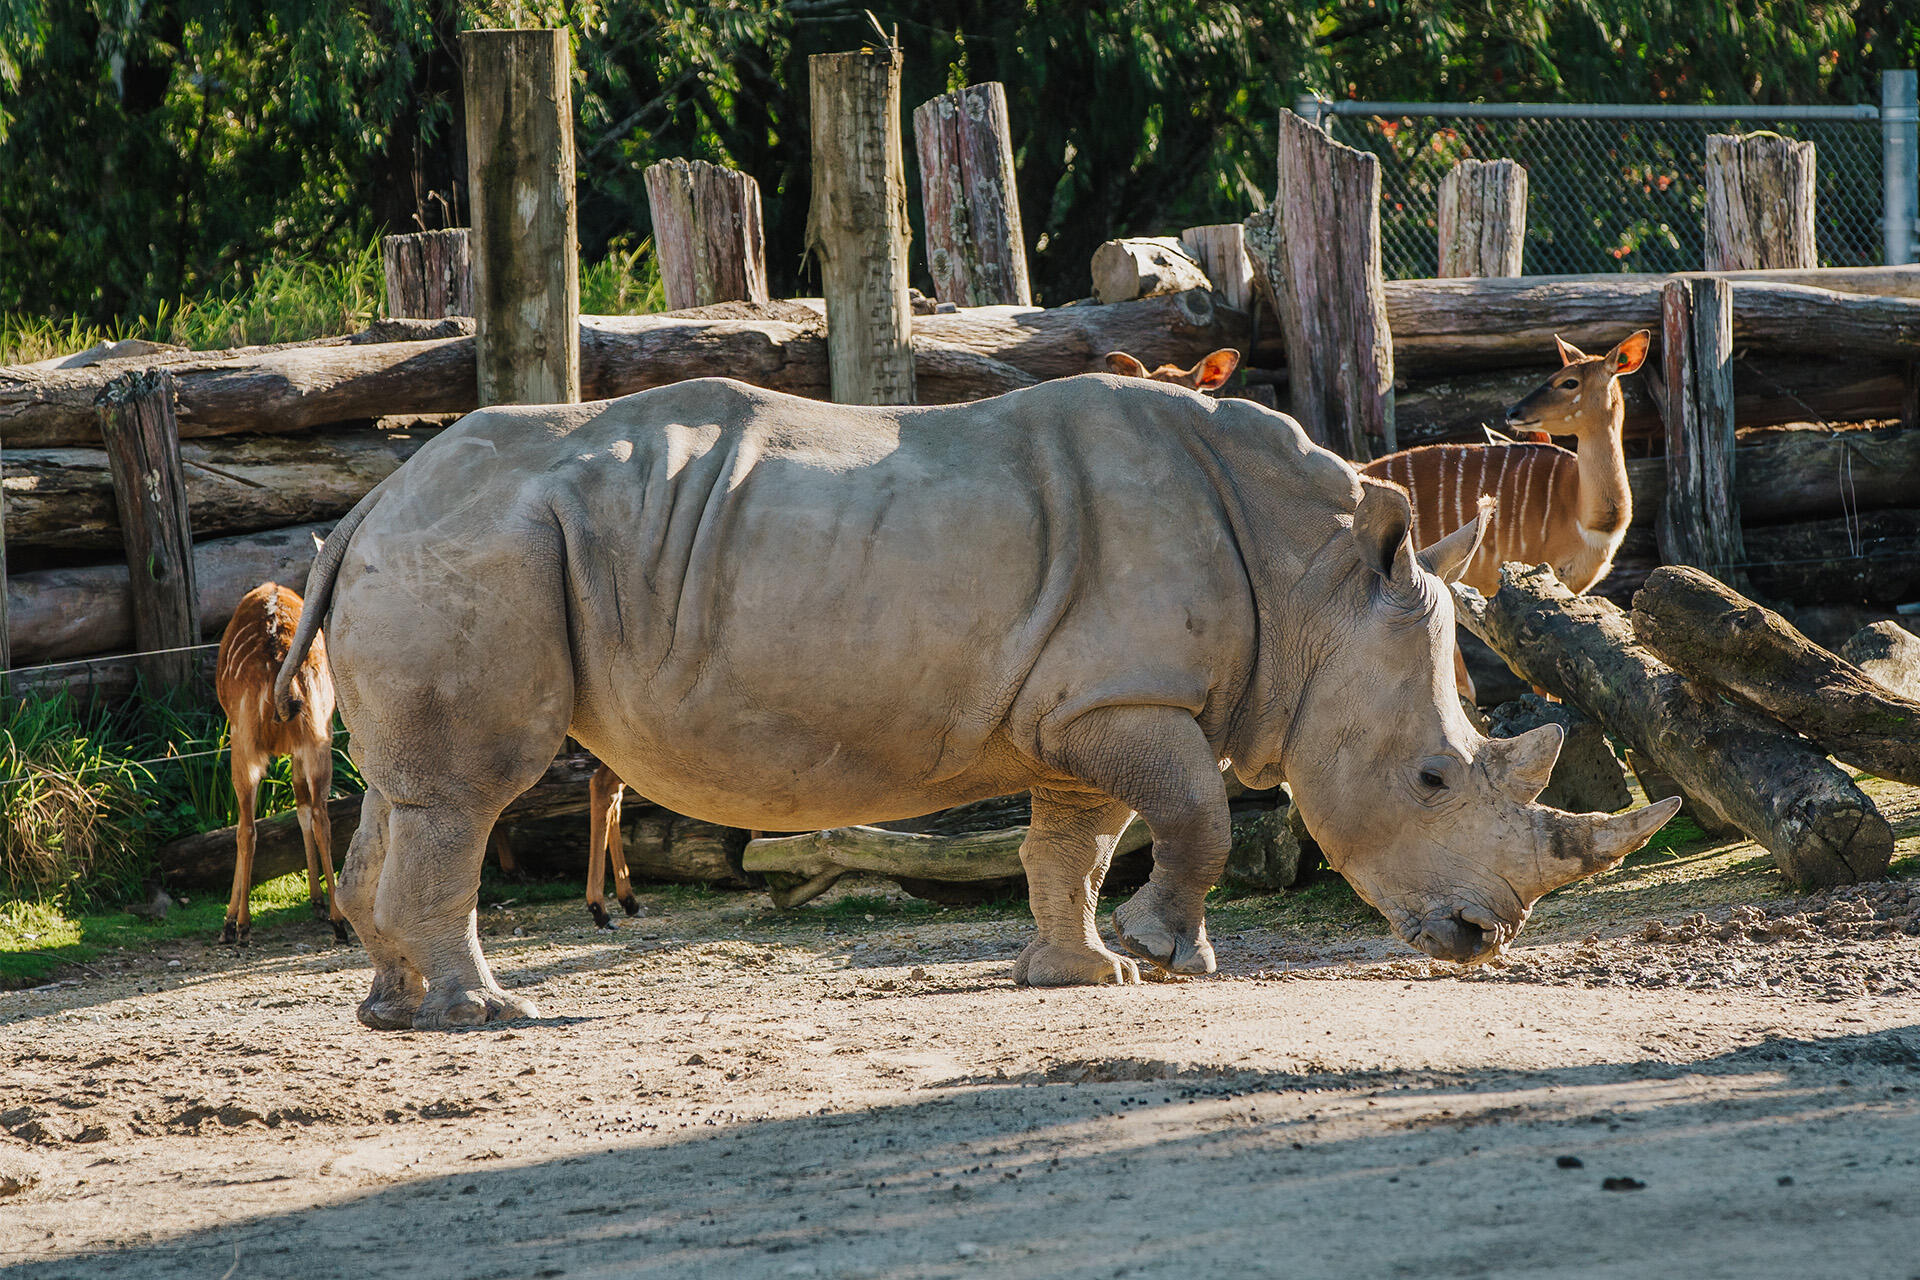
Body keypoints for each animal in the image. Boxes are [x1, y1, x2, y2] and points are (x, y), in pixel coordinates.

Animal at [277, 375, 1678, 1030]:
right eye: (1434, 778)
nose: (1482, 941)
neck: (1318, 589)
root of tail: (374, 495)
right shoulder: (1124, 696)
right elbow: (1199, 816)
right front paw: (1171, 957)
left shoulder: (1075, 709)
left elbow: (1076, 842)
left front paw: (1081, 975)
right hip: (485, 548)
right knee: (471, 790)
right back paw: (484, 1012)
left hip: (452, 542)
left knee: (406, 789)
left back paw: (392, 1006)